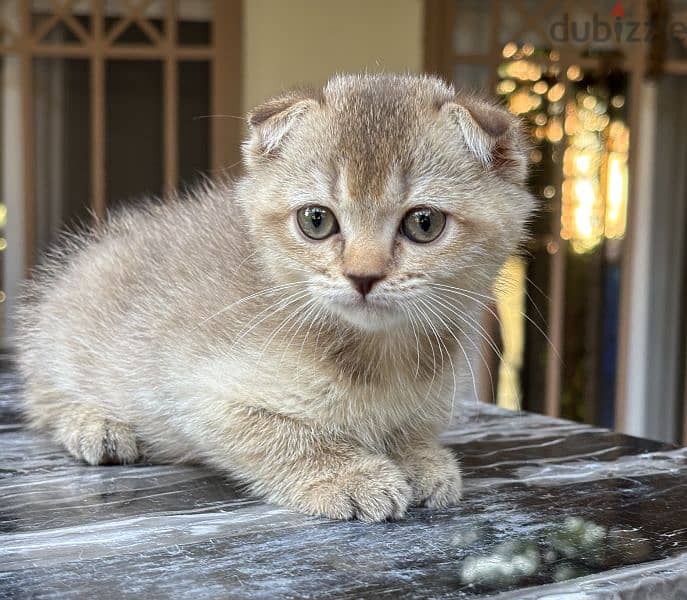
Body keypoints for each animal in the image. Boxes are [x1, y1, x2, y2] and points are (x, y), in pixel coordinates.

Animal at [14, 72, 532, 520]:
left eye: (424, 223)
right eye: (316, 220)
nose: (362, 276)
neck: (378, 357)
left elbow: (410, 428)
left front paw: (422, 459)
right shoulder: (194, 392)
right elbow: (283, 435)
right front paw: (350, 476)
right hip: (67, 342)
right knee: (42, 397)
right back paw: (95, 426)